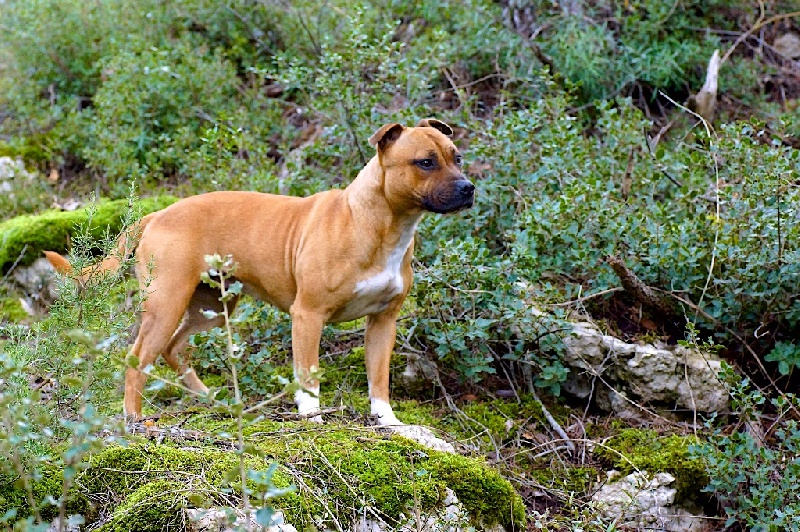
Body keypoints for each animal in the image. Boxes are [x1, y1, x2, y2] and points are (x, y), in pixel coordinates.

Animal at [45, 119, 474, 425]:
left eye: (456, 157)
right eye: (425, 162)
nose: (469, 187)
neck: (379, 223)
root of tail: (158, 214)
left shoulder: (383, 322)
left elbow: (379, 377)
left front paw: (387, 420)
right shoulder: (308, 316)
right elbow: (308, 372)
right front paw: (311, 414)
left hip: (213, 307)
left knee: (174, 348)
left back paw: (208, 397)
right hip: (166, 303)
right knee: (138, 358)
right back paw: (135, 419)